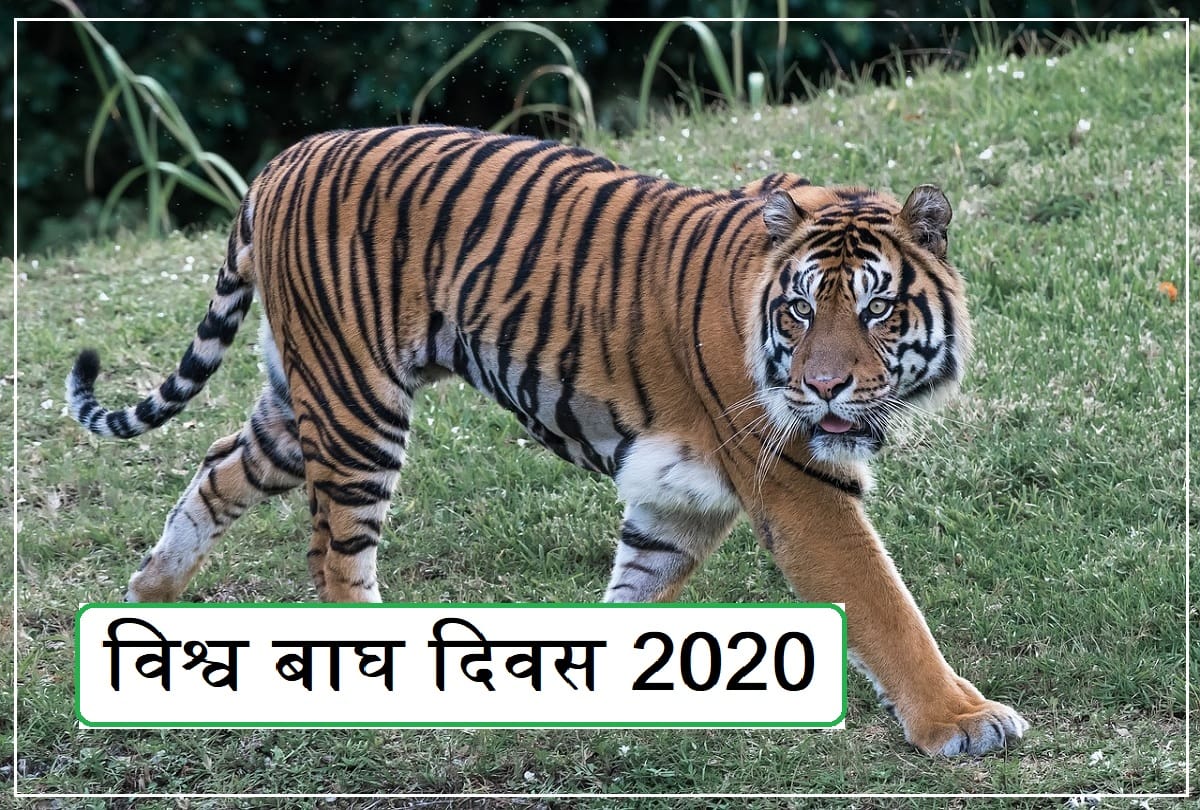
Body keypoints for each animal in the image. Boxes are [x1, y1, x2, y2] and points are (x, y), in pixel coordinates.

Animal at [67, 124, 1028, 756]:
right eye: (799, 310)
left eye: (877, 308)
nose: (824, 387)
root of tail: (280, 162)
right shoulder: (800, 486)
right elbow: (884, 605)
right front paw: (962, 722)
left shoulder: (676, 501)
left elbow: (638, 588)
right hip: (357, 409)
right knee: (334, 559)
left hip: (300, 405)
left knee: (218, 466)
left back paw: (151, 591)